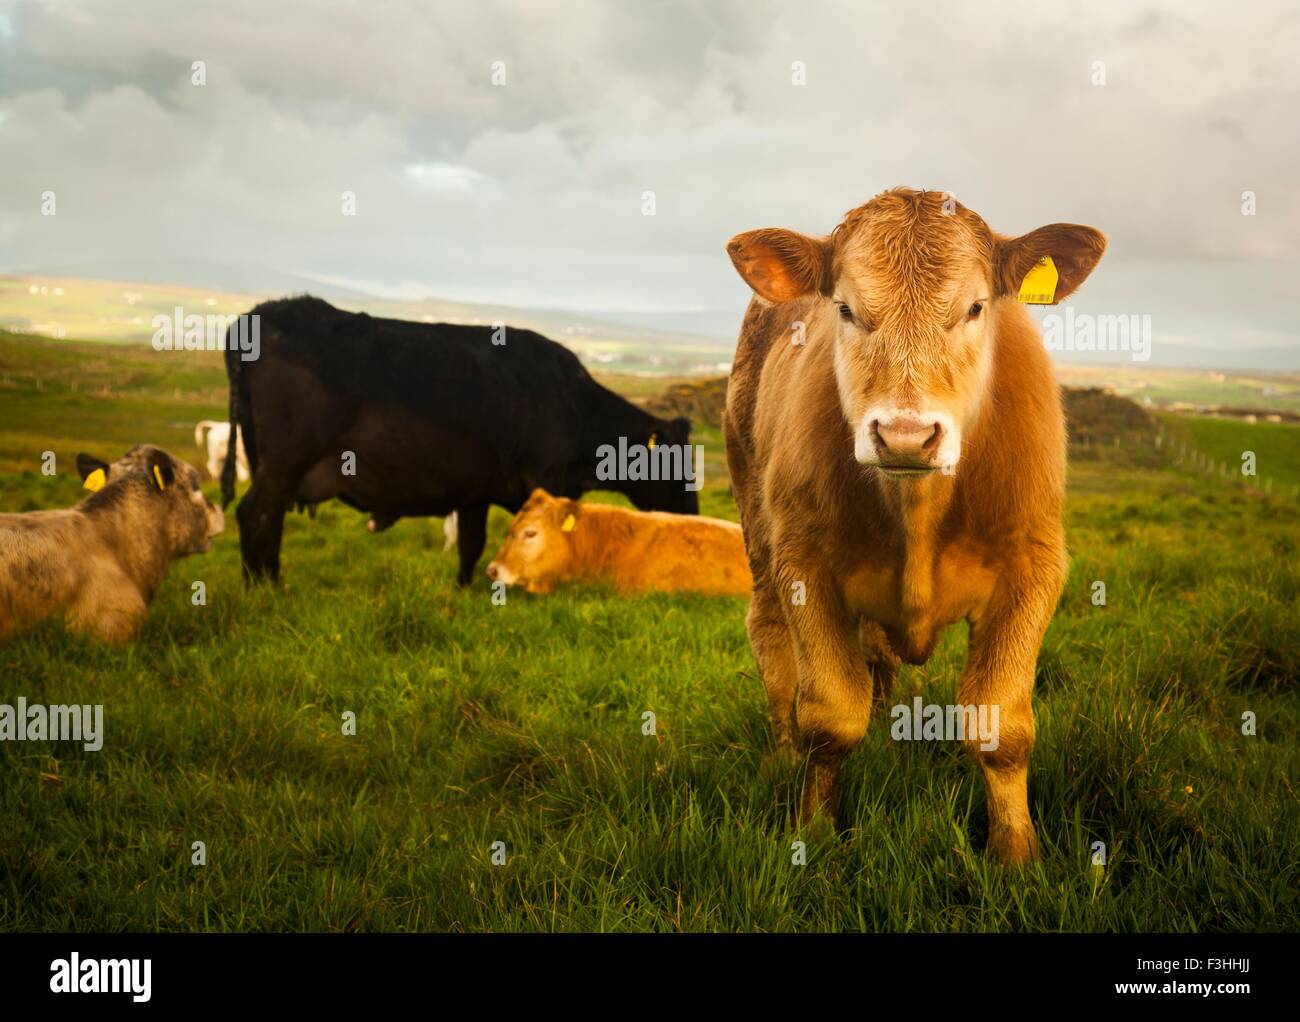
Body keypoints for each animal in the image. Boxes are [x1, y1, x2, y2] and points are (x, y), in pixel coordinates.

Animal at [220, 295, 702, 582]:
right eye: (677, 467)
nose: (696, 522)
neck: (574, 404)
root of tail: (262, 312)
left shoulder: (475, 491)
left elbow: (471, 545)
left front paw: (465, 590)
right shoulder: (543, 477)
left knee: (267, 519)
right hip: (284, 463)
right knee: (255, 514)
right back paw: (264, 588)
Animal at [728, 187, 1102, 858]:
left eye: (976, 307)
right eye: (845, 309)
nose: (906, 435)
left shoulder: (1033, 566)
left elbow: (1002, 725)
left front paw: (1017, 855)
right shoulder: (804, 565)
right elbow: (828, 718)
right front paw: (814, 832)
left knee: (878, 661)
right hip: (757, 528)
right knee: (773, 648)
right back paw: (779, 758)